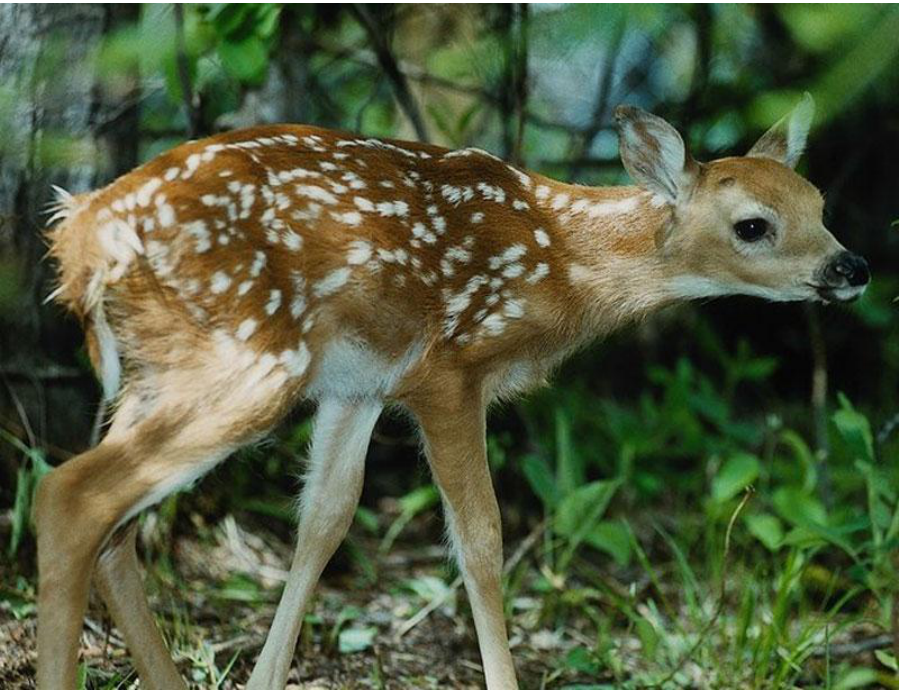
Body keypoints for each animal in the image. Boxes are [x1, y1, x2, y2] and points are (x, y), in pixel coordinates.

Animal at [37, 92, 868, 688]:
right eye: (753, 225)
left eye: (820, 206)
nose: (851, 266)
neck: (561, 260)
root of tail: (80, 237)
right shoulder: (449, 371)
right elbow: (481, 541)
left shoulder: (360, 385)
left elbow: (325, 521)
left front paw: (267, 679)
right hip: (247, 360)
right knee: (71, 495)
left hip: (161, 369)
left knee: (114, 529)